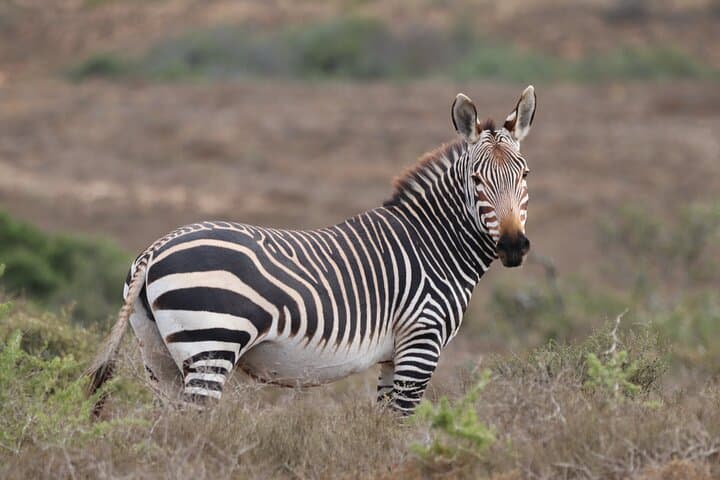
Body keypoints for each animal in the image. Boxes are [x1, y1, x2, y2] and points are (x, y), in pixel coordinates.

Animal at [86, 86, 537, 414]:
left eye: (525, 174)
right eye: (476, 179)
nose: (514, 245)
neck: (434, 243)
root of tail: (155, 248)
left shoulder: (394, 355)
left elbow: (383, 427)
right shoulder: (421, 342)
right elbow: (400, 425)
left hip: (157, 354)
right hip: (210, 343)